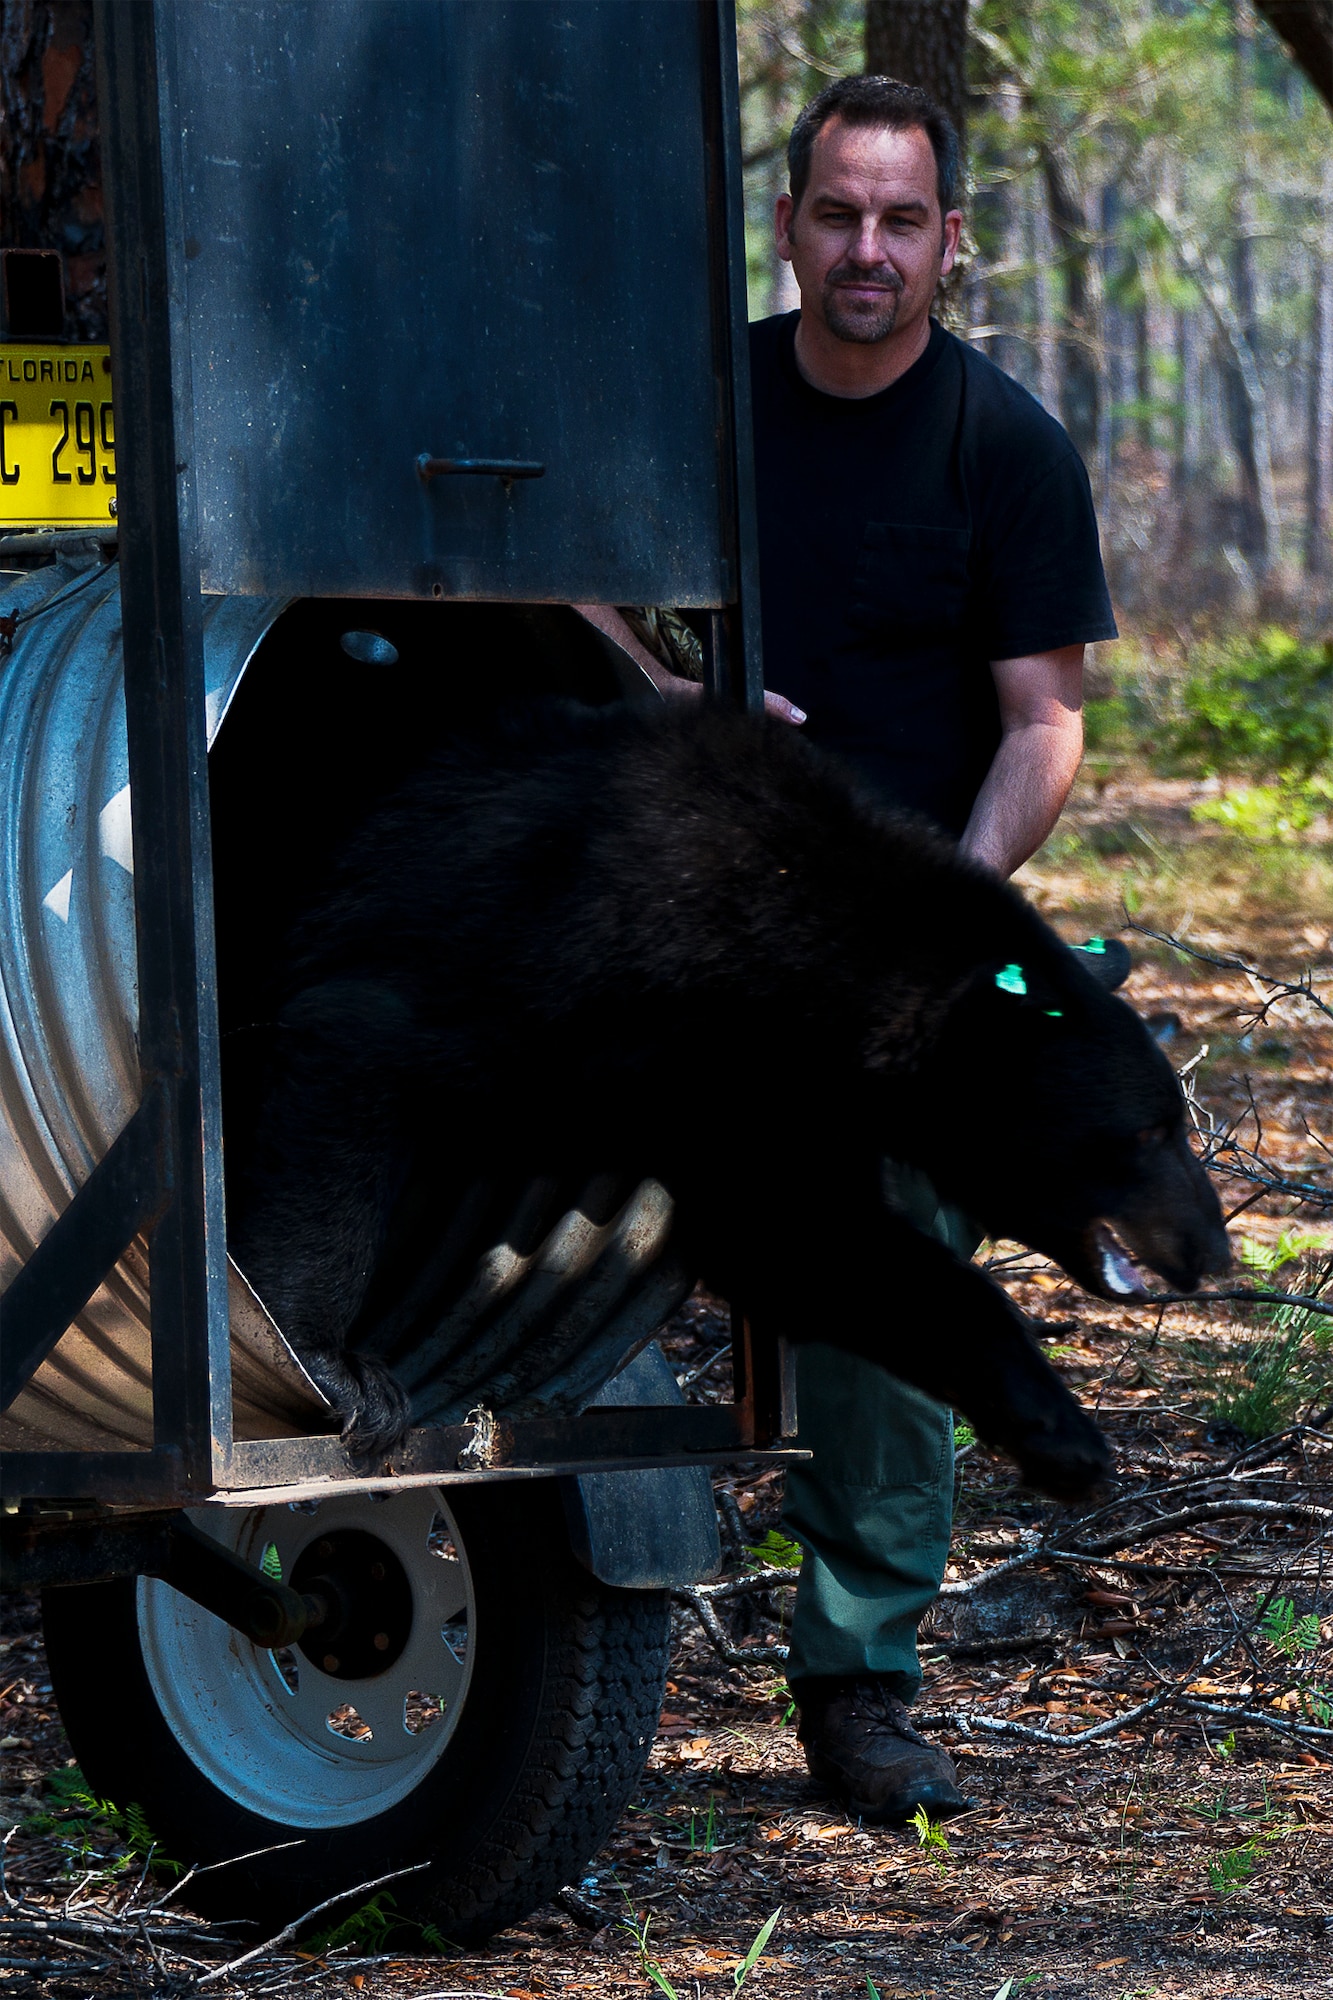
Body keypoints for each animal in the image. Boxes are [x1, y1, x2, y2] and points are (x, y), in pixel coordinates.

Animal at [223, 697, 1229, 1498]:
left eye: (1177, 1125)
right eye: (1146, 1133)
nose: (1210, 1252)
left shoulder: (744, 1089)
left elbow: (811, 1242)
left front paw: (1064, 1441)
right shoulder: (536, 956)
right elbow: (356, 1043)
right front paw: (332, 1370)